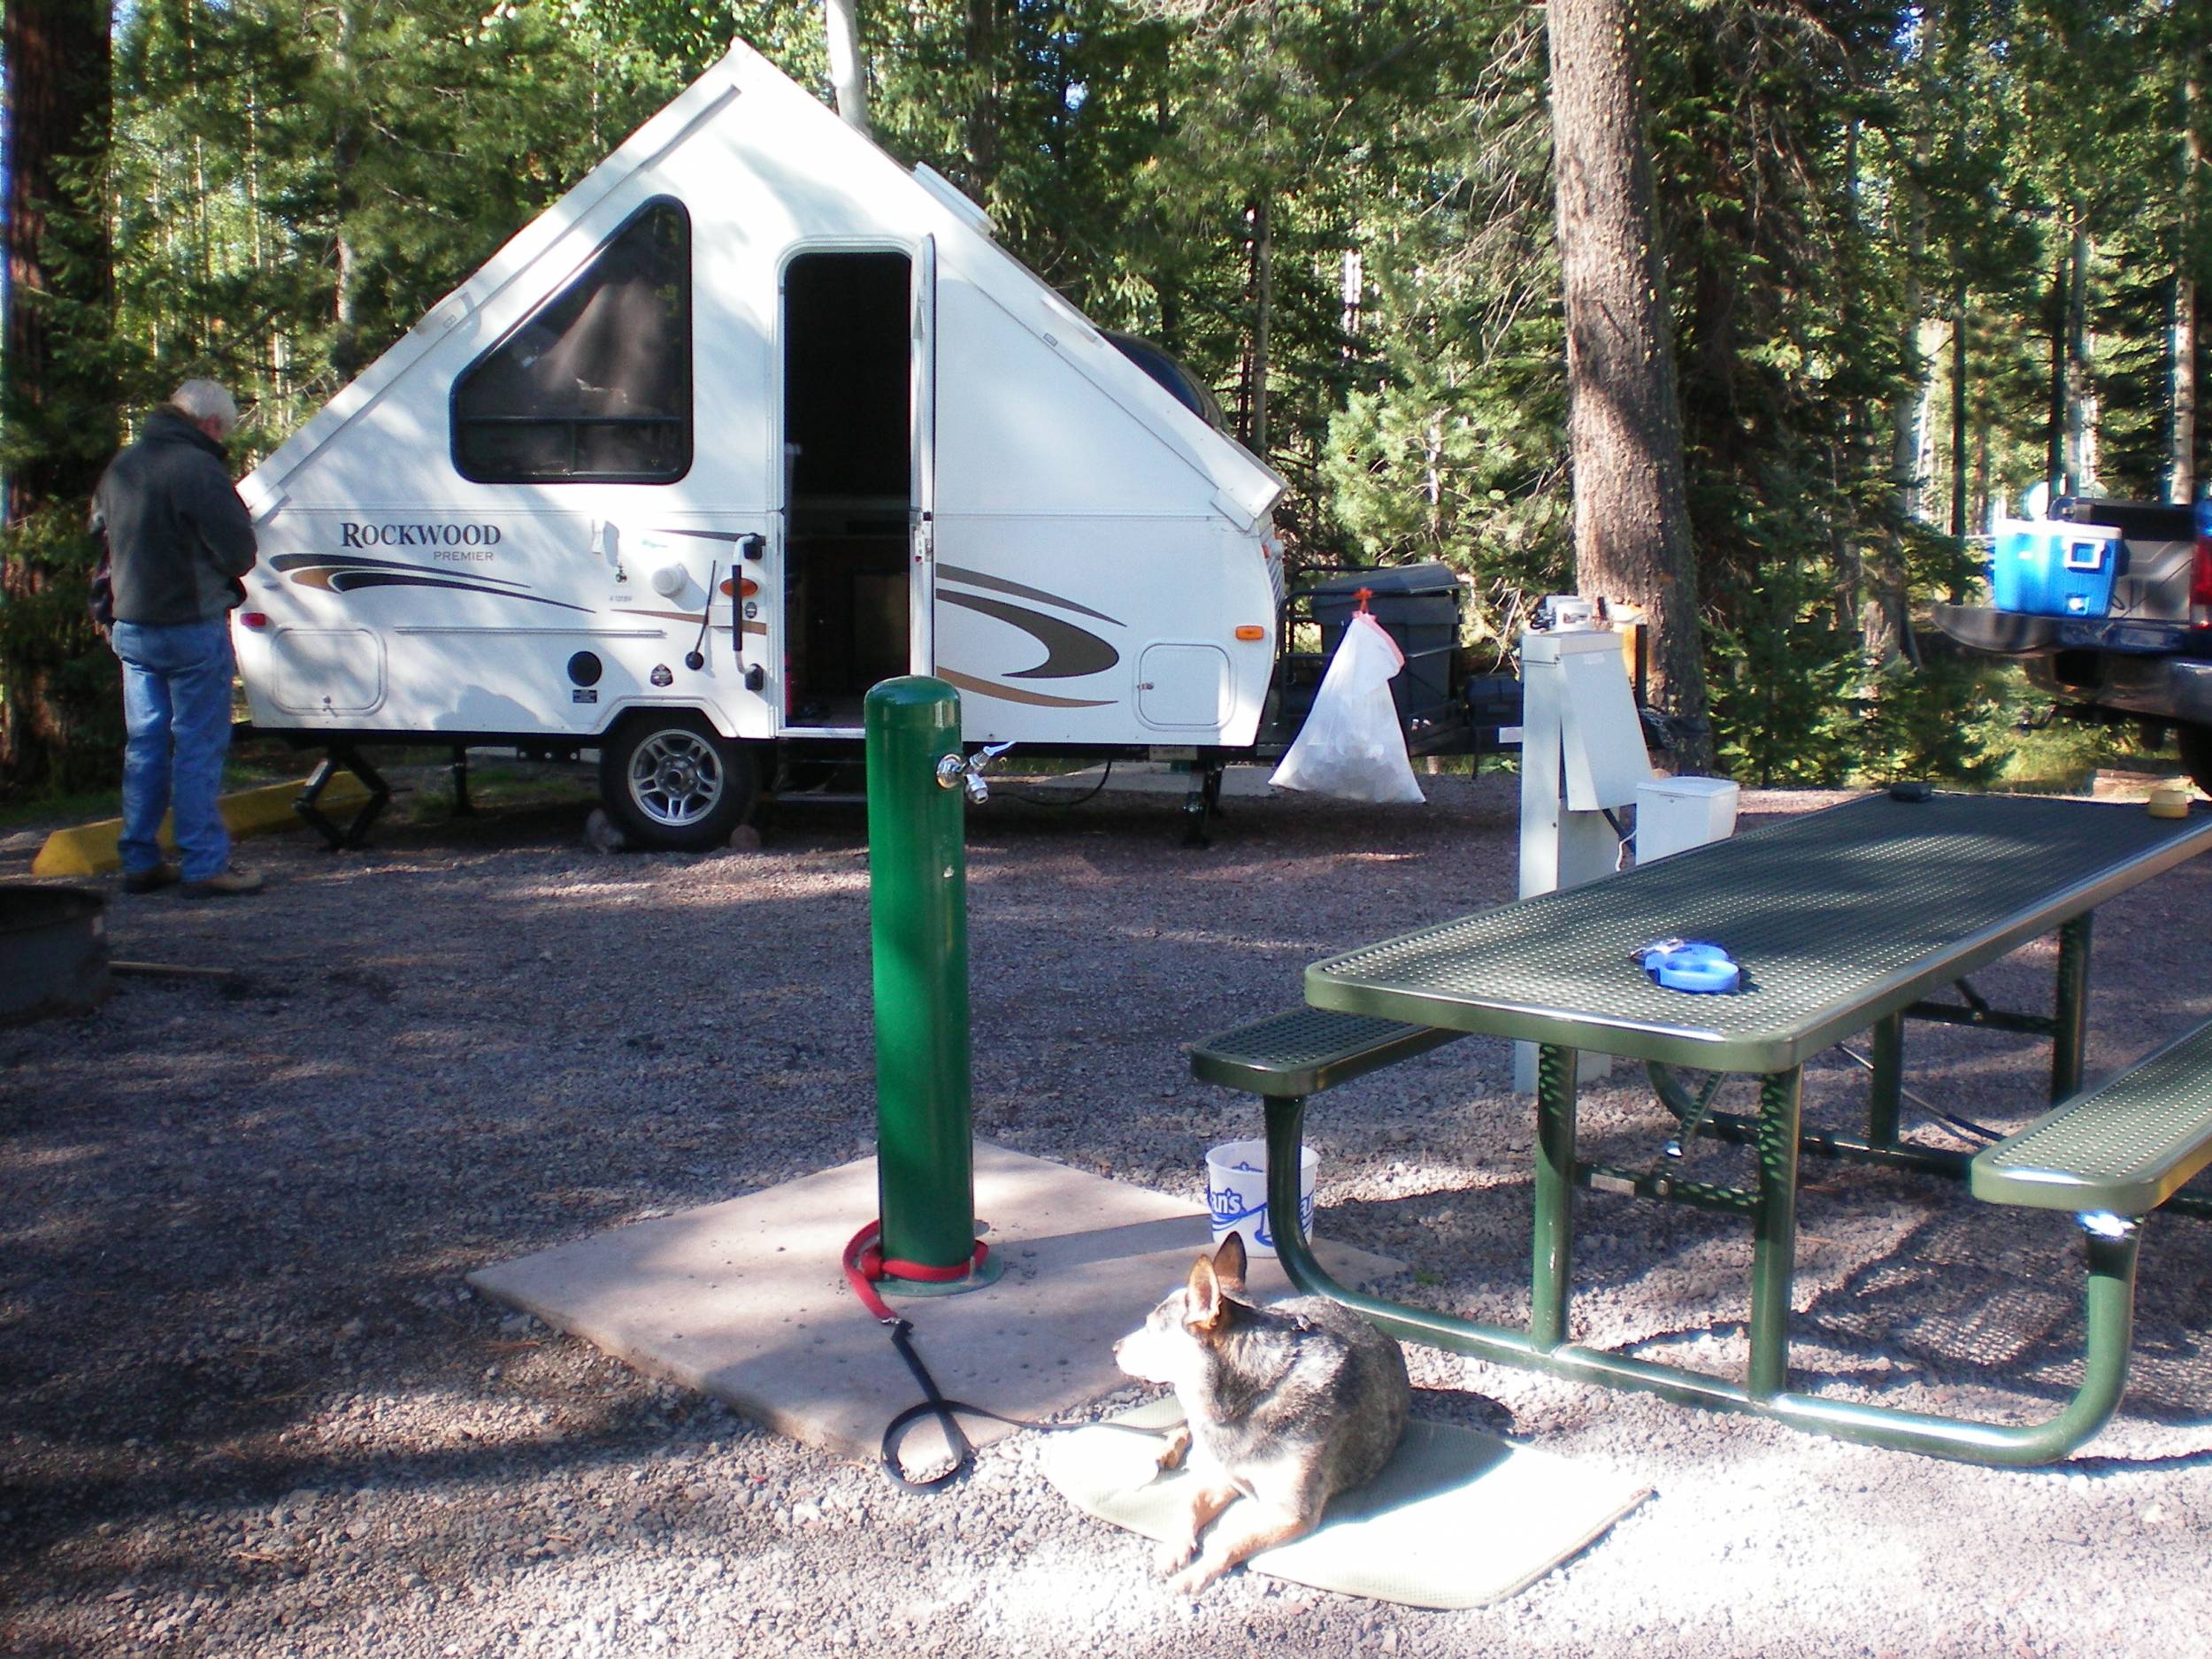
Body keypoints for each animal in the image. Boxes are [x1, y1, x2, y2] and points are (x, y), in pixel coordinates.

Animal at [1115, 1239, 1407, 1601]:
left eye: (1151, 1330)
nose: (1115, 1347)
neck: (1256, 1397)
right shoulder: (1223, 1478)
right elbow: (1189, 1505)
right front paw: (1176, 1545)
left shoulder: (1291, 1514)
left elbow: (1229, 1543)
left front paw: (1196, 1574)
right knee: (1183, 1428)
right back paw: (1168, 1451)